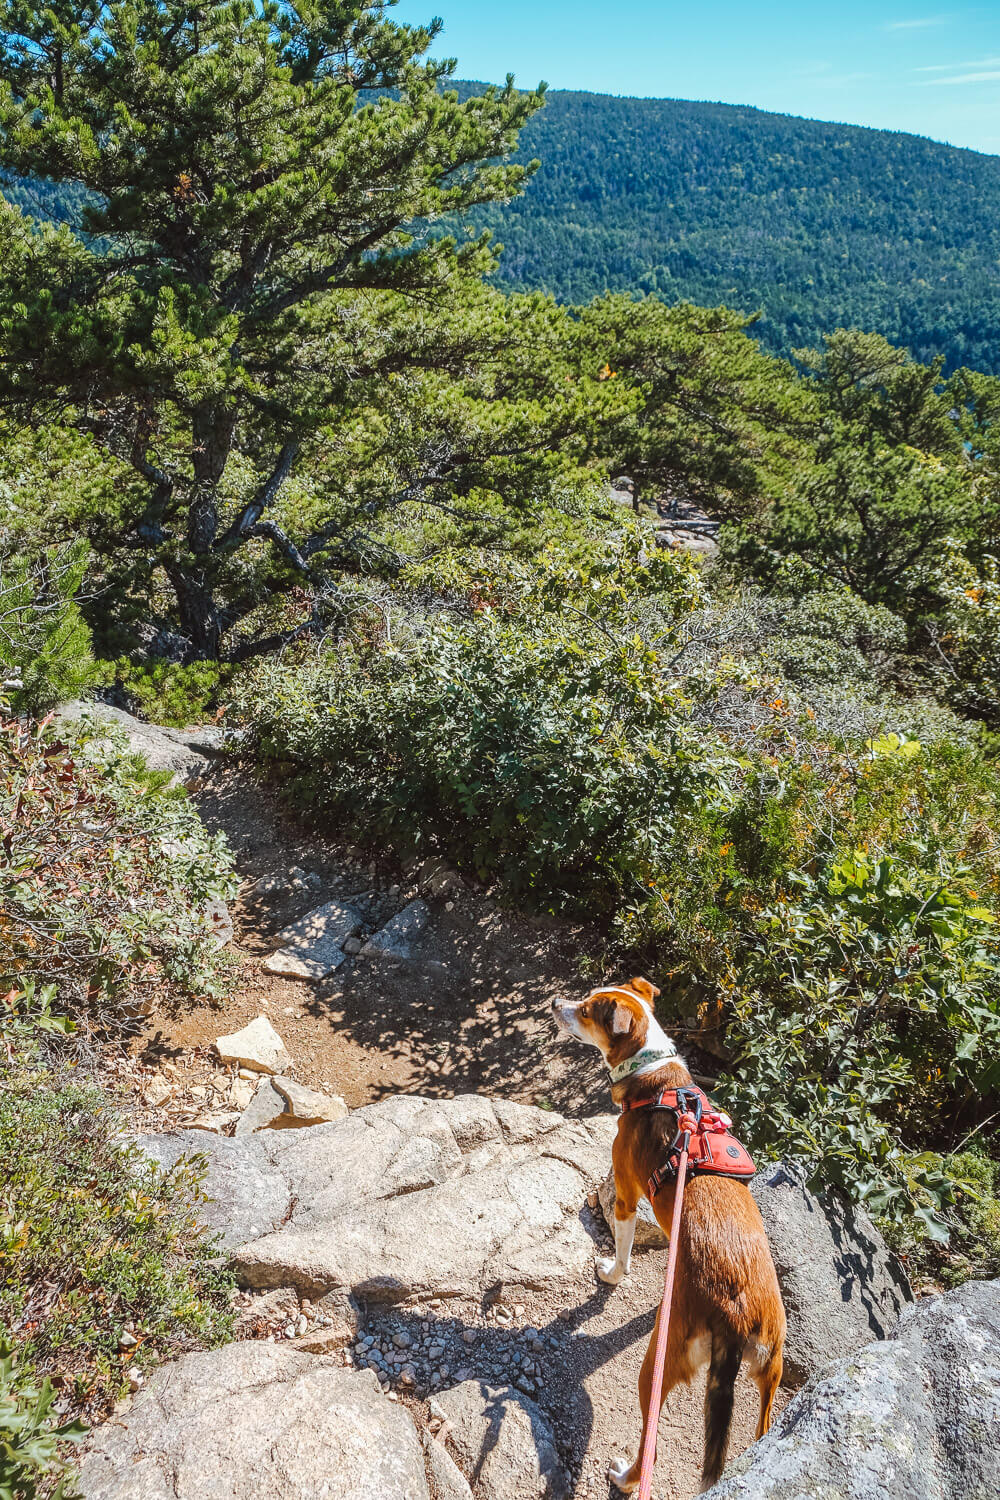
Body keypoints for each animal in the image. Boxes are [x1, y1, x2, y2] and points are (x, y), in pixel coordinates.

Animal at [551, 978, 785, 1494]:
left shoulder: (623, 1191)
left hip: (657, 1367)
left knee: (649, 1442)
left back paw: (626, 1477)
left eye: (587, 1010)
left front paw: (612, 1274)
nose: (555, 1002)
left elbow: (621, 1248)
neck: (654, 1076)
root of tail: (737, 1318)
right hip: (772, 1372)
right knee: (763, 1429)